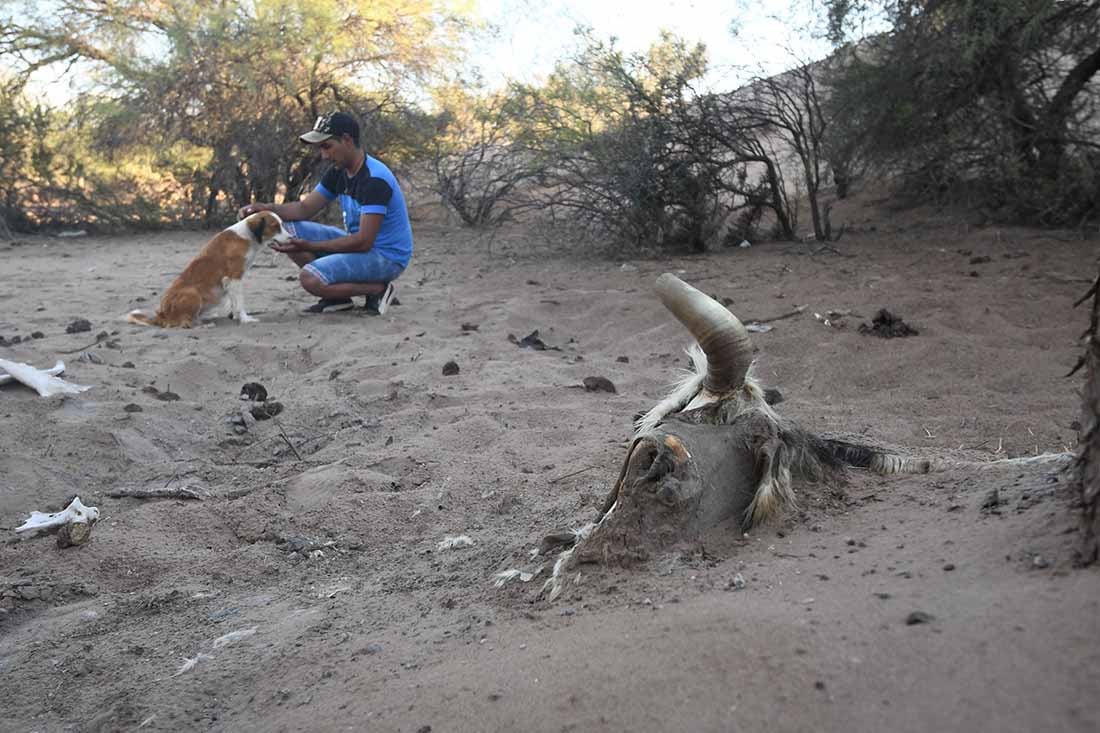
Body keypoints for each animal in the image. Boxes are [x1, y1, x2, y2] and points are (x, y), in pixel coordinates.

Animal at [127, 210, 290, 325]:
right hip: (192, 293)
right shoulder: (234, 277)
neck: (247, 236)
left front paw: (236, 317)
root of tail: (162, 314)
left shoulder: (231, 281)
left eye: (281, 225)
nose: (291, 237)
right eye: (275, 227)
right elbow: (239, 303)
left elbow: (234, 302)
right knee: (182, 323)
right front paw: (245, 319)